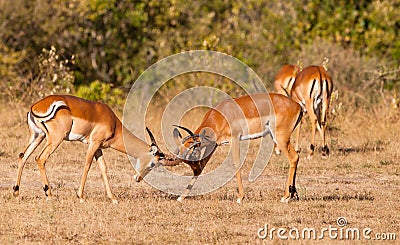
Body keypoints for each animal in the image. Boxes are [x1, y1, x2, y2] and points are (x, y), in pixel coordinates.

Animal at [13, 94, 165, 203]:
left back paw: (16, 192)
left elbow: (104, 168)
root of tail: (34, 106)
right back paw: (49, 194)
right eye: (153, 163)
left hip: (38, 136)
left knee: (23, 156)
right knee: (40, 158)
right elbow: (87, 166)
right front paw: (80, 196)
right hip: (55, 139)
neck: (113, 123)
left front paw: (113, 198)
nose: (138, 179)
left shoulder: (99, 148)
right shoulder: (93, 143)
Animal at [167, 92, 302, 203]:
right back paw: (293, 195)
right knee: (296, 157)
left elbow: (237, 163)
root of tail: (297, 106)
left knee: (293, 157)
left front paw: (240, 198)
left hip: (280, 138)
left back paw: (285, 197)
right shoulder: (214, 144)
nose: (194, 168)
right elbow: (203, 166)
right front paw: (181, 197)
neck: (220, 116)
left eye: (193, 155)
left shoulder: (235, 139)